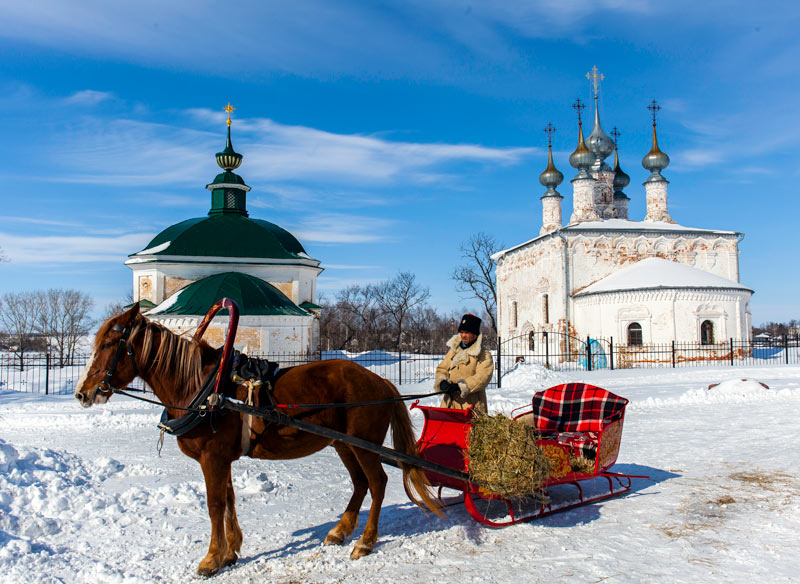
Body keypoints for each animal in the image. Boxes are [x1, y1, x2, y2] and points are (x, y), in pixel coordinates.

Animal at [74, 304, 440, 576]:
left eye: (108, 345)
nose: (82, 393)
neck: (204, 390)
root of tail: (380, 382)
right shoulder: (221, 458)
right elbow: (229, 499)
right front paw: (230, 550)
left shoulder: (213, 458)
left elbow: (214, 504)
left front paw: (211, 558)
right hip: (344, 444)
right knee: (361, 483)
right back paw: (340, 530)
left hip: (362, 443)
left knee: (376, 482)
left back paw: (365, 541)